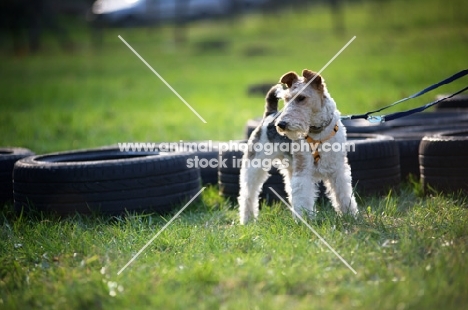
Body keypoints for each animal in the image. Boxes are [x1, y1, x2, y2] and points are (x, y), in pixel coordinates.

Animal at [239, 69, 356, 224]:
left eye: (301, 98)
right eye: (287, 99)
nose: (280, 124)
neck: (318, 132)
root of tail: (270, 115)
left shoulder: (338, 169)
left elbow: (343, 194)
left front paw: (350, 215)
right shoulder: (303, 171)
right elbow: (303, 198)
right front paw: (304, 221)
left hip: (289, 168)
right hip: (255, 165)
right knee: (248, 194)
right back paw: (247, 220)